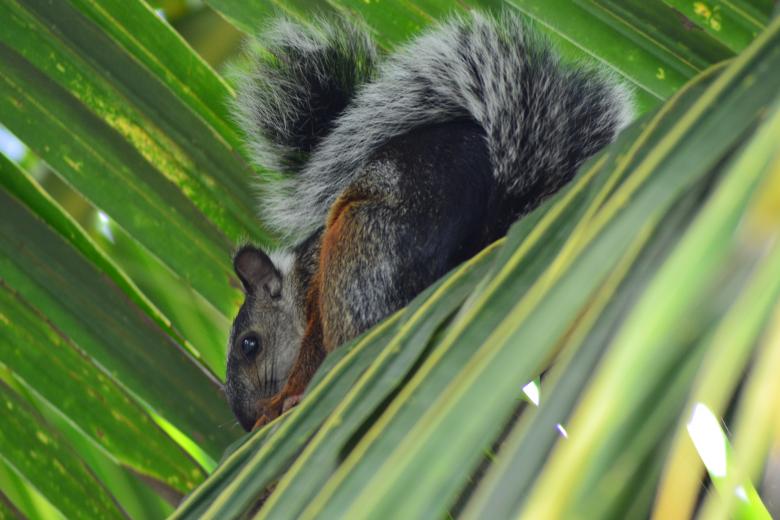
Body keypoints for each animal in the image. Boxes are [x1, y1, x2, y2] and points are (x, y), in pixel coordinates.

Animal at [225, 11, 634, 431]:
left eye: (249, 345)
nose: (247, 420)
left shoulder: (313, 283)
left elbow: (312, 345)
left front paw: (282, 400)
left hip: (358, 253)